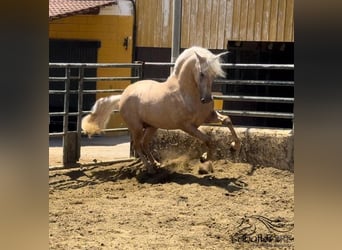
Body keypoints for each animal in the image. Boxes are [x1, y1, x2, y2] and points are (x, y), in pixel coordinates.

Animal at [81, 46, 240, 173]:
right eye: (201, 73)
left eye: (214, 74)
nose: (207, 99)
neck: (186, 93)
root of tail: (122, 96)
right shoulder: (187, 126)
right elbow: (208, 139)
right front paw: (204, 158)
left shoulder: (208, 116)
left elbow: (227, 120)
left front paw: (234, 146)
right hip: (136, 127)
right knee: (138, 145)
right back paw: (149, 168)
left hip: (152, 127)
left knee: (145, 144)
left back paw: (157, 164)